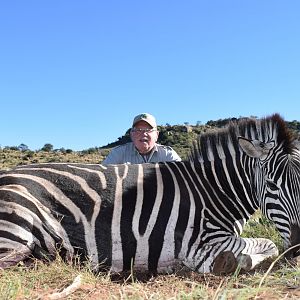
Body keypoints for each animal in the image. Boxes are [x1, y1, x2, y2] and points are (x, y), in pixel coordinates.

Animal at [0, 113, 298, 274]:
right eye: (272, 185)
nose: (297, 247)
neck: (215, 191)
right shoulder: (202, 244)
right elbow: (265, 245)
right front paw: (236, 262)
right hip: (17, 229)